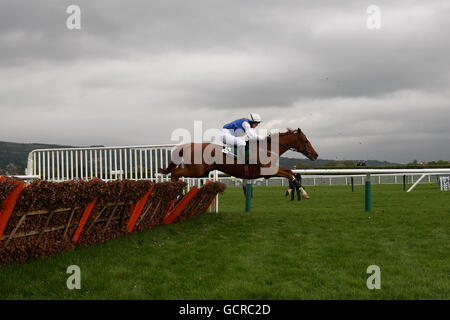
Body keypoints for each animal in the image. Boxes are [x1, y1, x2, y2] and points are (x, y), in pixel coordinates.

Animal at [160, 127, 318, 185]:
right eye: (305, 141)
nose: (315, 155)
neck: (267, 149)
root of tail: (190, 145)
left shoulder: (272, 171)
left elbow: (289, 171)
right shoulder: (268, 172)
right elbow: (289, 174)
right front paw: (300, 190)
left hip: (201, 172)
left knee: (175, 173)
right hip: (196, 171)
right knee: (175, 172)